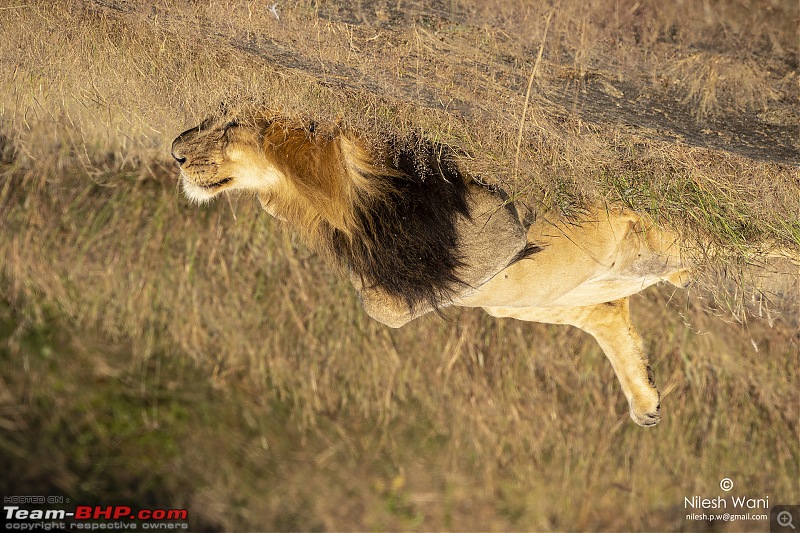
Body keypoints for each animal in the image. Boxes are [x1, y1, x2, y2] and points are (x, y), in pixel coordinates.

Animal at [172, 114, 692, 426]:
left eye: (230, 123)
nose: (175, 151)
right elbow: (383, 299)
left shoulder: (490, 222)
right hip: (525, 301)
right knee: (607, 308)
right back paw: (643, 397)